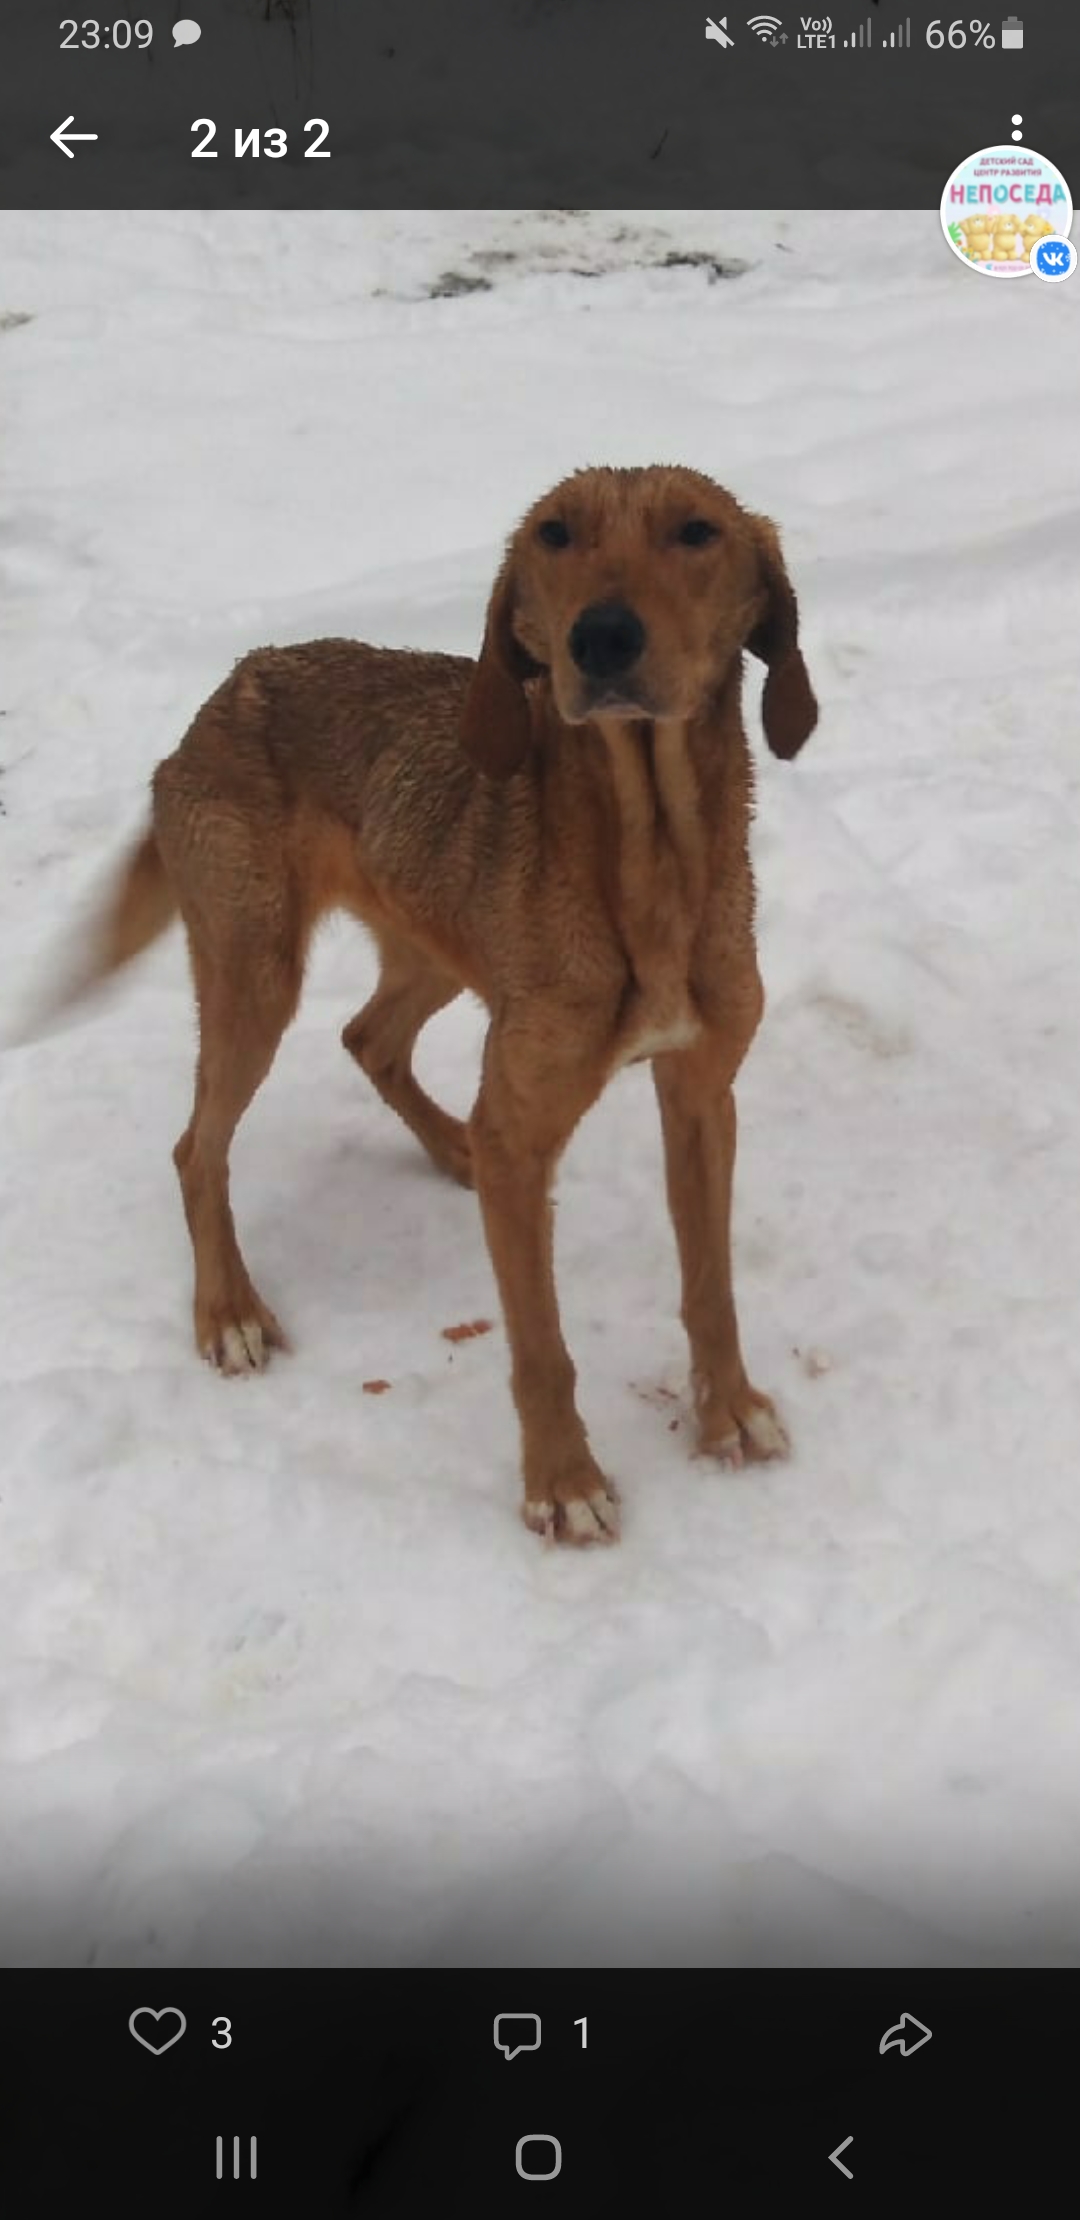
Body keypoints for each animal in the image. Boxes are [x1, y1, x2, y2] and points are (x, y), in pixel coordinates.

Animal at [35, 465, 817, 1543]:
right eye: (554, 534)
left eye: (697, 531)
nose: (601, 639)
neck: (649, 862)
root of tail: (225, 694)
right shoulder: (531, 1124)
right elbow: (541, 1345)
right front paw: (563, 1481)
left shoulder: (701, 1096)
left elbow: (712, 1287)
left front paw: (727, 1411)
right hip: (253, 973)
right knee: (199, 1147)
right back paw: (228, 1310)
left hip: (436, 945)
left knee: (369, 1039)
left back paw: (451, 1148)